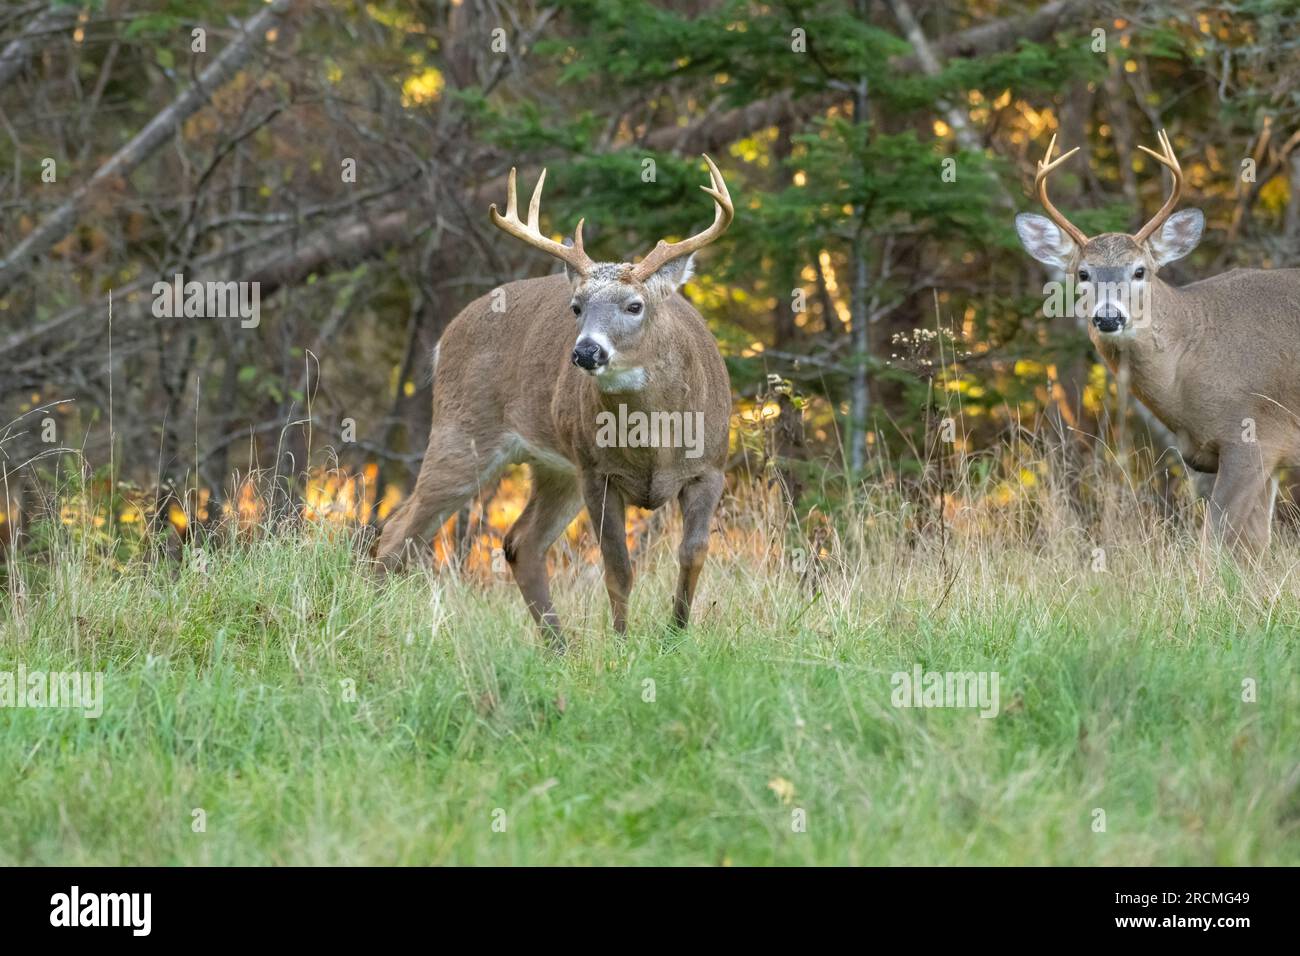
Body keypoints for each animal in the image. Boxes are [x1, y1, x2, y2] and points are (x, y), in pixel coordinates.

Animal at [376, 155, 734, 647]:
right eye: (576, 306)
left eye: (635, 305)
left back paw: (560, 647)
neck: (653, 446)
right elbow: (618, 569)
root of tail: (445, 337)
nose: (586, 352)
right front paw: (623, 644)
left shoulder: (710, 467)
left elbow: (693, 554)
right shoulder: (598, 473)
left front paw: (675, 638)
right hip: (463, 430)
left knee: (520, 542)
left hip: (556, 468)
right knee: (397, 532)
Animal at [1015, 130, 1300, 554]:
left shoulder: (1254, 436)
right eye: (1083, 273)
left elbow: (1216, 543)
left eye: (1139, 271)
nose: (1108, 316)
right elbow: (1254, 545)